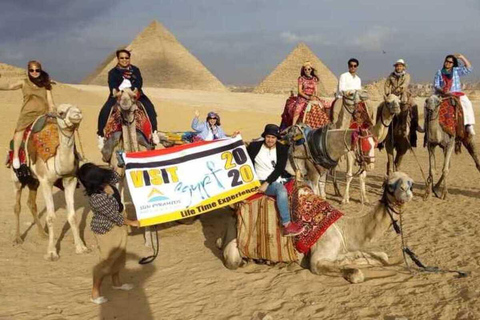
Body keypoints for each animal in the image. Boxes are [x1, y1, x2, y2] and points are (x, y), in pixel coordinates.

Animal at [12, 104, 88, 262]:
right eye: (61, 112)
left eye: (77, 108)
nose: (77, 114)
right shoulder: (46, 181)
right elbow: (51, 216)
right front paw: (52, 252)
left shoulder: (70, 180)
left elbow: (72, 215)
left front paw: (81, 247)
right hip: (17, 179)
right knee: (17, 206)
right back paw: (18, 238)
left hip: (33, 181)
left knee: (31, 203)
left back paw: (43, 234)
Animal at [220, 171, 412, 284]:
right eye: (390, 185)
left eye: (410, 182)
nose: (406, 191)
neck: (344, 228)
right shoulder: (318, 259)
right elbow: (356, 273)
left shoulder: (345, 248)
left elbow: (381, 256)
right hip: (233, 243)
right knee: (232, 259)